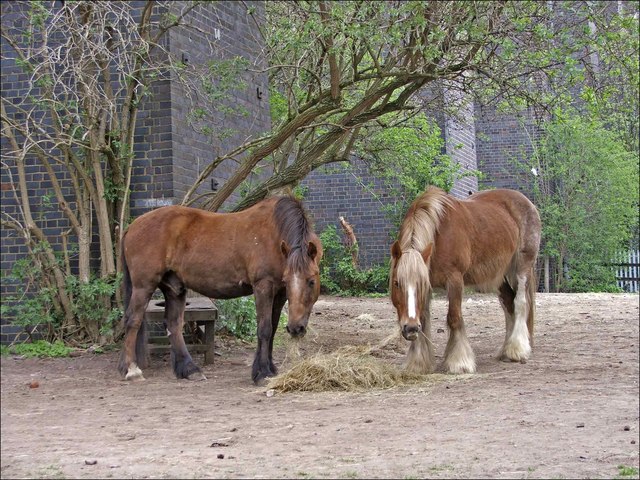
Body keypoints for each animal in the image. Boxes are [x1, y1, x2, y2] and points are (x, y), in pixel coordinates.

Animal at [118, 193, 322, 384]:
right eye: (291, 281)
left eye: (311, 281)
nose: (296, 328)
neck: (274, 233)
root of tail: (132, 226)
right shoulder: (263, 286)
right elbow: (264, 329)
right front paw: (262, 373)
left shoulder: (279, 293)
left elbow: (271, 329)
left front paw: (269, 369)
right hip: (143, 286)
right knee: (132, 320)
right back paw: (132, 370)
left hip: (174, 288)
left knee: (173, 324)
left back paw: (189, 369)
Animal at [390, 188, 540, 376]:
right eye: (397, 283)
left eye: (420, 284)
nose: (410, 328)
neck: (439, 236)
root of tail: (527, 202)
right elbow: (423, 318)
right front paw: (418, 363)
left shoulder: (454, 280)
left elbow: (454, 317)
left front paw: (459, 362)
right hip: (499, 276)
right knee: (509, 303)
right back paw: (506, 350)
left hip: (522, 267)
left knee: (520, 303)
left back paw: (517, 349)